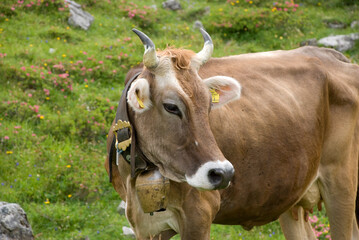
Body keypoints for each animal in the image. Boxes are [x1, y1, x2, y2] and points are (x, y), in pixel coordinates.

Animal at [105, 28, 359, 240]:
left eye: (209, 104)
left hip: (341, 182)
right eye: (171, 107)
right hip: (292, 194)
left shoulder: (199, 215)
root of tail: (333, 55)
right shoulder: (144, 226)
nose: (223, 173)